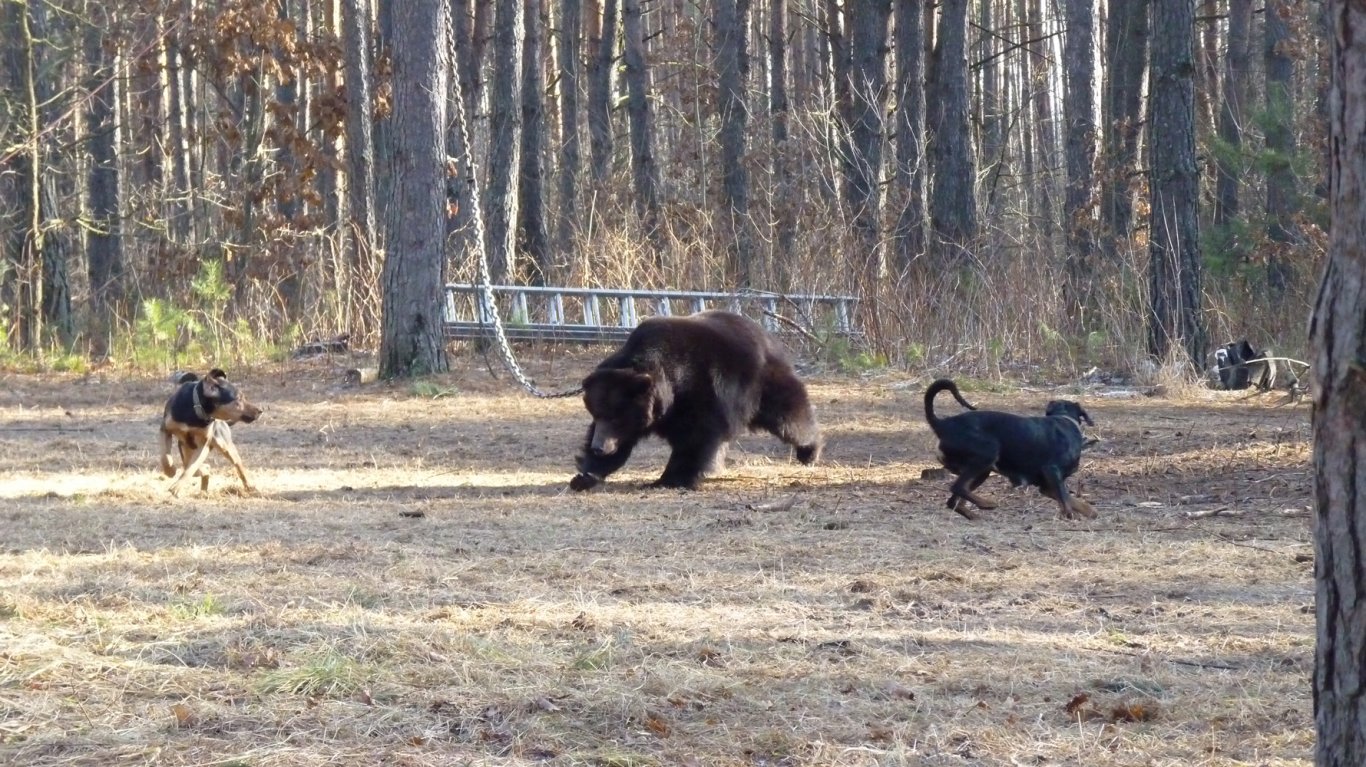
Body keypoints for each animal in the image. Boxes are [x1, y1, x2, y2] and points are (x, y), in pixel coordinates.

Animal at [158, 366, 262, 497]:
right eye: (239, 398)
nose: (260, 410)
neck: (196, 411)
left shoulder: (204, 444)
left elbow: (191, 468)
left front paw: (177, 487)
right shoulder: (165, 430)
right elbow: (165, 457)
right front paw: (171, 471)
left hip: (225, 446)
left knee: (238, 466)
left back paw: (249, 487)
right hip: (186, 449)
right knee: (200, 468)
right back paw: (203, 488)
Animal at [565, 308, 819, 489]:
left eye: (616, 417)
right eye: (596, 413)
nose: (599, 447)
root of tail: (766, 335)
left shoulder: (700, 391)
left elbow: (695, 437)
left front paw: (669, 479)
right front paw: (585, 475)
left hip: (761, 384)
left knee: (789, 416)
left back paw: (809, 450)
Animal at [917, 377, 1098, 519]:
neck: (1065, 419)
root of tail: (943, 424)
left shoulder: (1047, 486)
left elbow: (1074, 501)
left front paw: (1089, 512)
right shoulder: (1052, 471)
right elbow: (1065, 500)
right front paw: (1069, 516)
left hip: (982, 471)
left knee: (954, 500)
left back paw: (975, 515)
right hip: (987, 455)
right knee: (957, 487)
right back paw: (987, 504)